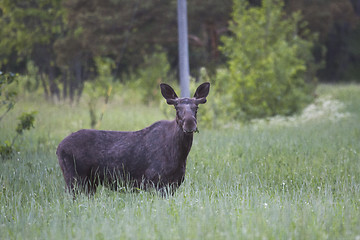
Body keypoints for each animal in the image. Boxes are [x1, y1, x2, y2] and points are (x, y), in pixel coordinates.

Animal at [56, 82, 211, 195]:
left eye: (196, 107)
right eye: (177, 108)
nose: (190, 123)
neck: (180, 155)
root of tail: (58, 148)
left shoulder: (173, 184)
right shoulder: (154, 181)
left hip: (89, 183)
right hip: (74, 178)